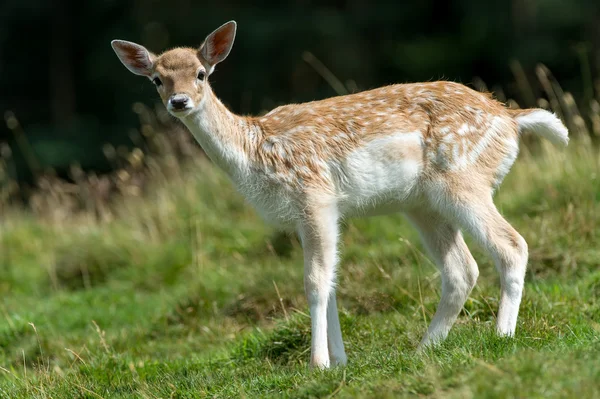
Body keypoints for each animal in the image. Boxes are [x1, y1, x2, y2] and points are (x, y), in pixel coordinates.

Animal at [111, 18, 568, 368]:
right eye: (156, 79)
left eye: (201, 74)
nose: (179, 101)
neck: (255, 152)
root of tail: (511, 119)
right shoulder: (306, 215)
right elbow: (330, 280)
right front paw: (340, 362)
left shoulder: (314, 195)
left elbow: (315, 281)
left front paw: (317, 364)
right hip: (423, 204)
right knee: (461, 268)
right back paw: (424, 349)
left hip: (464, 179)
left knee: (512, 244)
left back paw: (502, 336)